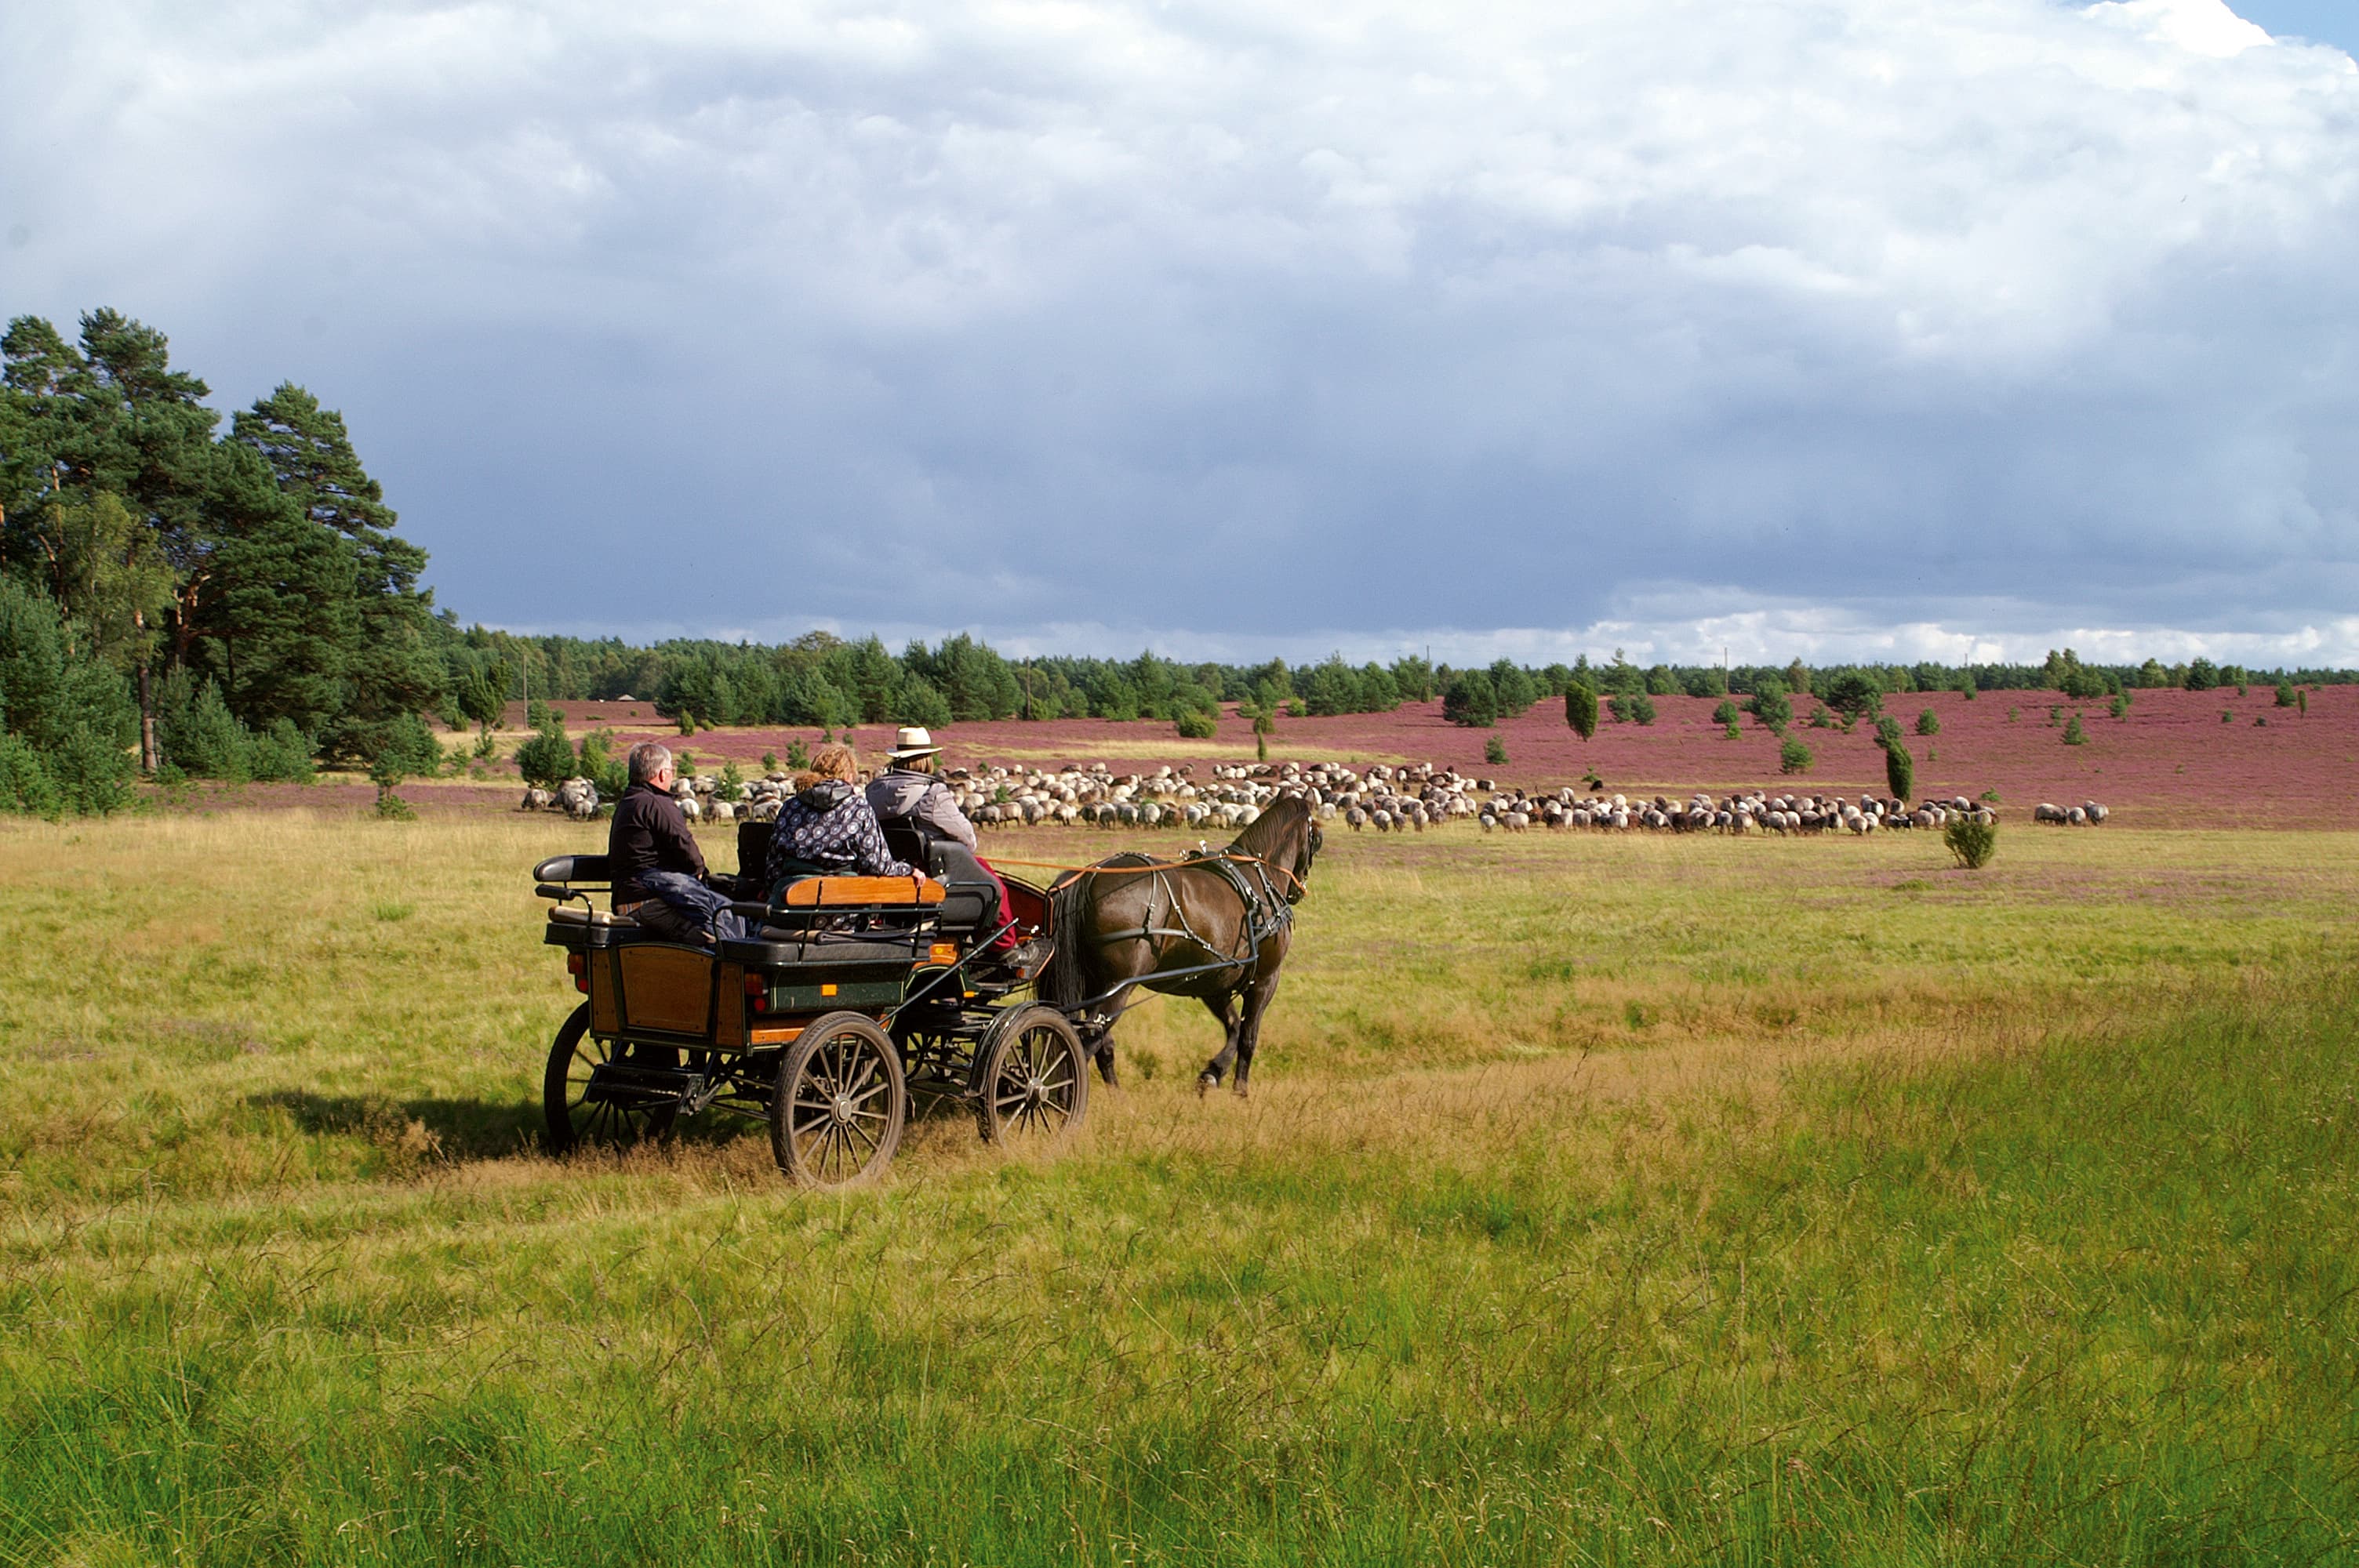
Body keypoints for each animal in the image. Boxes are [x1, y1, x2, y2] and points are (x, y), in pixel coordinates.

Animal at [1038, 797, 1321, 1089]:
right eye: (1317, 837)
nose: (1298, 890)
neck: (1257, 878)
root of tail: (1088, 877)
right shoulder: (1265, 981)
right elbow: (1248, 1038)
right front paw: (1240, 1090)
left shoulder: (1214, 983)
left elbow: (1233, 1027)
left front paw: (1212, 1073)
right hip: (1116, 987)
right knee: (1085, 1043)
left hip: (1093, 986)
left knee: (1097, 1045)